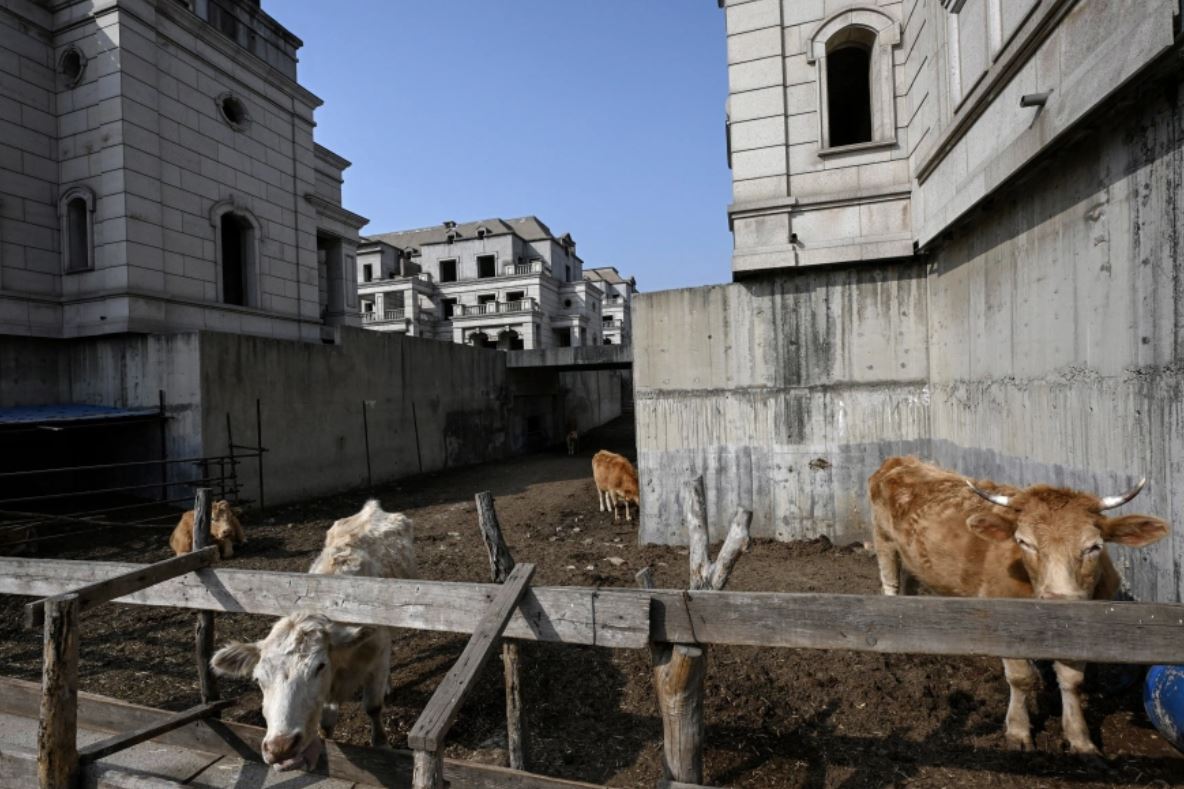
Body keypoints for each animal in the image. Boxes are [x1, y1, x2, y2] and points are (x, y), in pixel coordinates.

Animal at [210, 497, 414, 767]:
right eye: (258, 679)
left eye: (319, 666)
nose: (280, 747)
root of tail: (372, 507)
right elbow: (326, 723)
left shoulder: (378, 654)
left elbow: (373, 706)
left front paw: (381, 744)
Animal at [866, 457, 1169, 753]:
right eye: (1024, 542)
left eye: (1094, 546)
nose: (1059, 602)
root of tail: (900, 461)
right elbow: (1021, 678)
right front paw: (1018, 731)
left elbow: (1072, 680)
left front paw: (1081, 740)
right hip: (883, 540)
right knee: (890, 585)